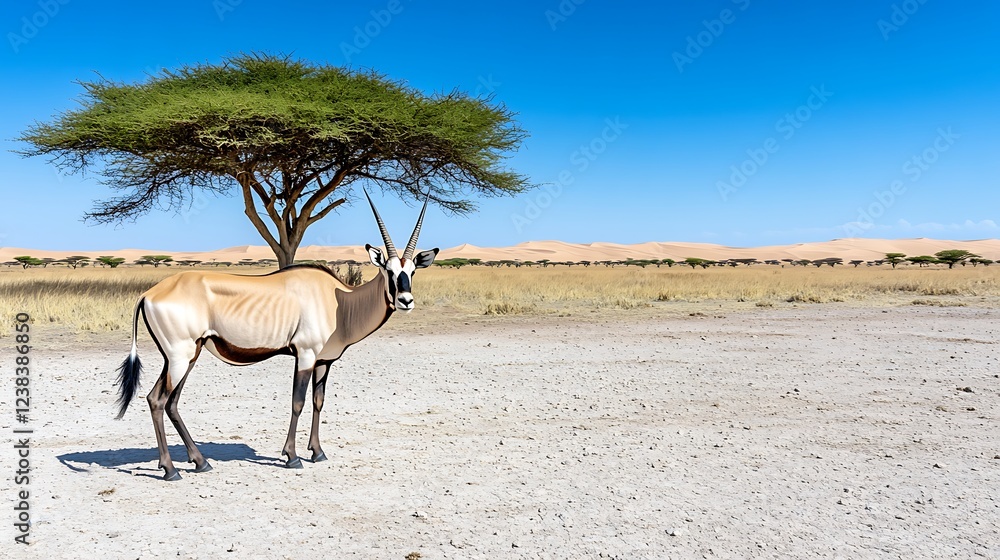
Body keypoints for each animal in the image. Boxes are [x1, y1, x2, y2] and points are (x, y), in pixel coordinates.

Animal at [114, 191, 438, 481]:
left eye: (412, 271)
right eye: (388, 271)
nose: (406, 301)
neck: (340, 302)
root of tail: (149, 294)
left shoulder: (324, 361)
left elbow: (318, 401)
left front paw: (317, 452)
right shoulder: (305, 355)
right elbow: (298, 402)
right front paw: (292, 457)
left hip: (187, 356)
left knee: (168, 402)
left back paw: (200, 462)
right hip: (180, 357)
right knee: (158, 400)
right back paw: (171, 470)